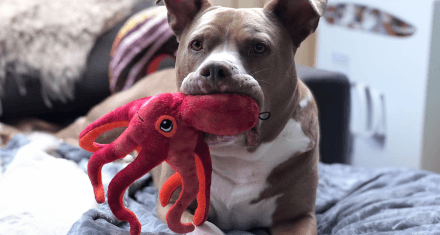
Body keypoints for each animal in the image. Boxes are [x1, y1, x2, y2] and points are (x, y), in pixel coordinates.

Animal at [56, 0, 326, 233]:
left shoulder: (298, 217)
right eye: (197, 44)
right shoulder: (174, 205)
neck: (239, 154)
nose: (215, 69)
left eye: (259, 47)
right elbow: (208, 230)